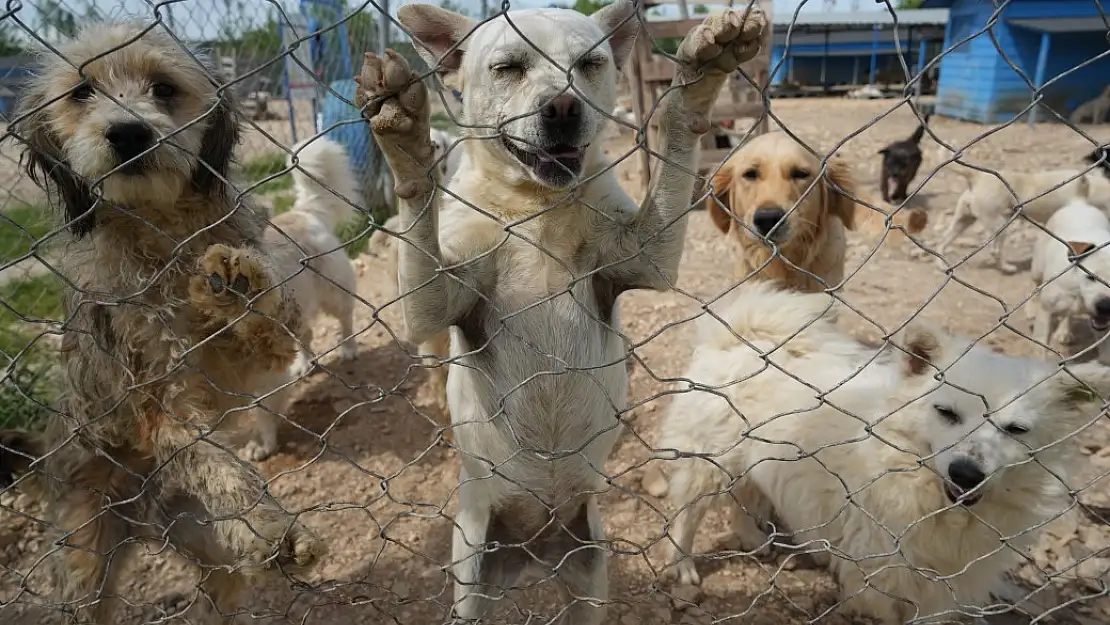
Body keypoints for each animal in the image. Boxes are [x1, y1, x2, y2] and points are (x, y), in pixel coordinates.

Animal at [1, 22, 321, 621]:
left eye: (164, 89)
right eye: (82, 93)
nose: (128, 134)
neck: (162, 230)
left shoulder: (250, 360)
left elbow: (273, 325)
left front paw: (242, 291)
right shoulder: (160, 398)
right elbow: (212, 459)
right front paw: (267, 525)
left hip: (201, 537)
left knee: (221, 588)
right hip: (85, 563)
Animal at [352, 2, 763, 621]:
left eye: (590, 64)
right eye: (508, 68)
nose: (563, 107)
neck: (536, 209)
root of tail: (534, 551)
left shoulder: (646, 258)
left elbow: (674, 146)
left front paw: (699, 82)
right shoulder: (432, 303)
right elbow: (417, 209)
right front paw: (403, 134)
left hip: (591, 566)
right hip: (471, 573)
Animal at [657, 284, 1110, 625]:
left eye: (1016, 430)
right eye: (946, 412)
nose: (965, 473)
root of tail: (742, 337)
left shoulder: (944, 585)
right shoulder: (887, 575)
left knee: (745, 497)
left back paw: (754, 539)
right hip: (708, 465)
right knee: (687, 516)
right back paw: (683, 565)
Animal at [1025, 175, 1110, 361]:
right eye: (1091, 277)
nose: (1105, 306)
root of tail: (1079, 202)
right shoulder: (1046, 311)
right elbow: (1039, 345)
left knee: (1068, 314)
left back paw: (1064, 331)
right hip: (1037, 268)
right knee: (1034, 285)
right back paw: (1030, 310)